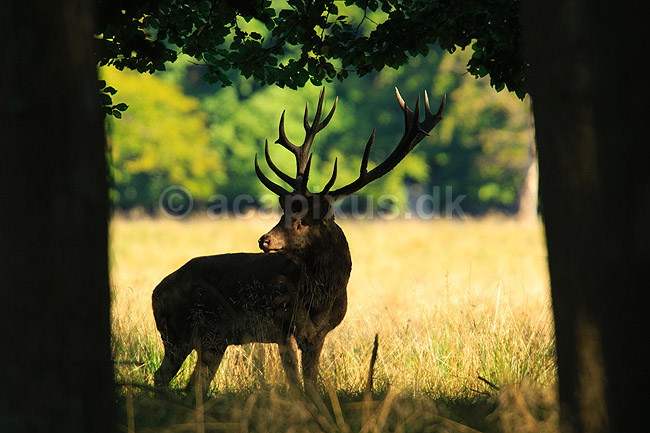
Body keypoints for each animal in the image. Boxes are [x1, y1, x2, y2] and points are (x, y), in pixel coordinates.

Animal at [151, 88, 445, 394]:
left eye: (302, 221)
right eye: (284, 214)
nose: (265, 240)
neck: (322, 300)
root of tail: (155, 292)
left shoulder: (319, 334)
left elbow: (311, 381)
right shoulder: (283, 326)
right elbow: (295, 383)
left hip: (213, 340)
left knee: (193, 383)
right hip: (176, 332)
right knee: (162, 376)